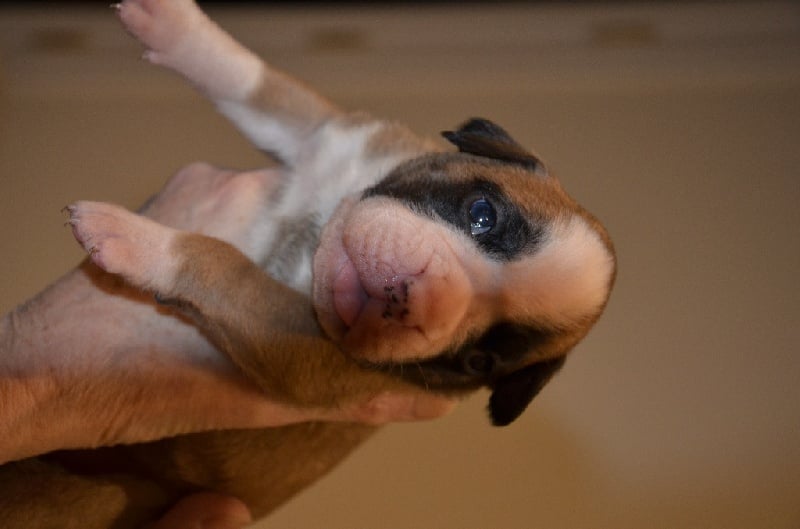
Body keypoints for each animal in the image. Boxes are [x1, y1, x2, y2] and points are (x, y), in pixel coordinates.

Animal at [0, 0, 616, 527]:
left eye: (479, 361)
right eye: (482, 212)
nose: (414, 295)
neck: (316, 234)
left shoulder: (304, 355)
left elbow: (222, 262)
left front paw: (131, 239)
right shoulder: (333, 135)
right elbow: (257, 83)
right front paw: (171, 23)